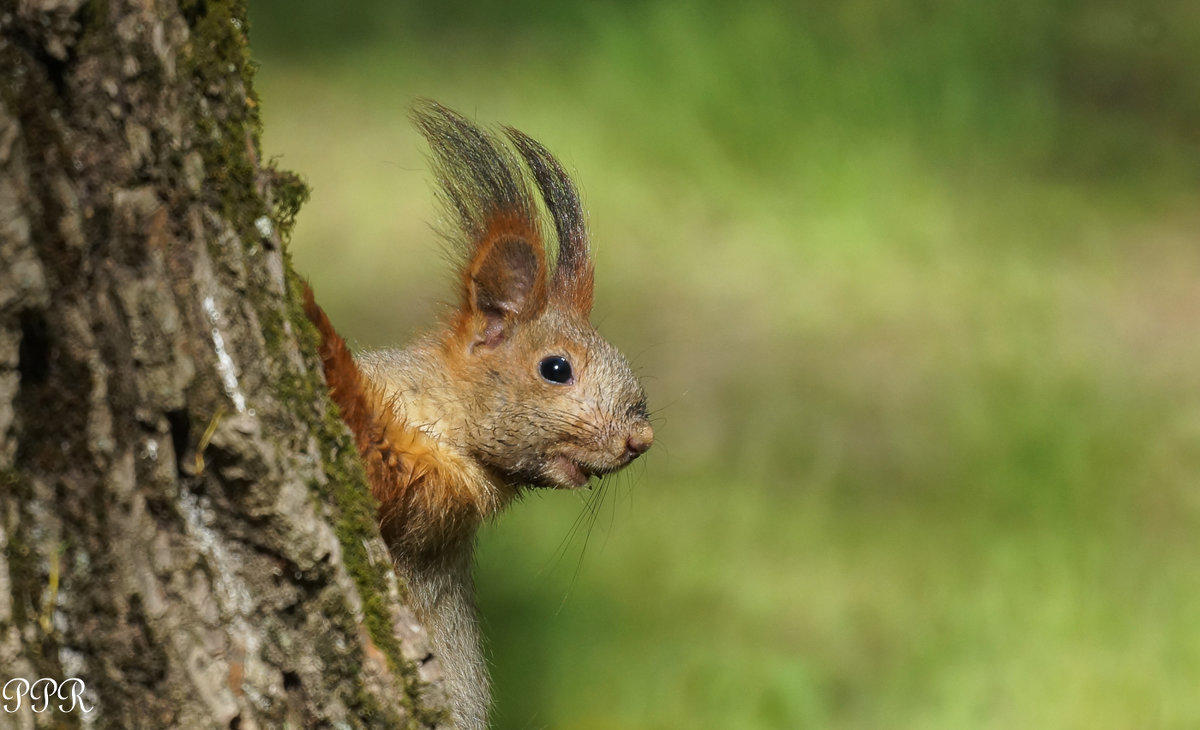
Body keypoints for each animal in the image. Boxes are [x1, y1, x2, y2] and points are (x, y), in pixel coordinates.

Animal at [300, 99, 657, 725]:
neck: (439, 415)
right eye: (556, 368)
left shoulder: (433, 493)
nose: (642, 439)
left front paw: (313, 317)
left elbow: (374, 457)